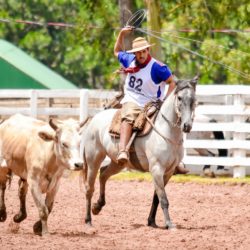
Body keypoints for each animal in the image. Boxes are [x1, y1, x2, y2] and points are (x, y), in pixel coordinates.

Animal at [83, 76, 198, 230]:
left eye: (194, 99)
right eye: (179, 98)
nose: (187, 125)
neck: (167, 131)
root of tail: (94, 118)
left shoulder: (168, 172)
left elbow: (156, 198)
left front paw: (151, 221)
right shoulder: (156, 169)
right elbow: (163, 199)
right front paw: (169, 224)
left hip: (118, 163)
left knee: (103, 174)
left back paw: (98, 206)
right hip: (93, 161)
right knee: (90, 188)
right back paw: (88, 220)